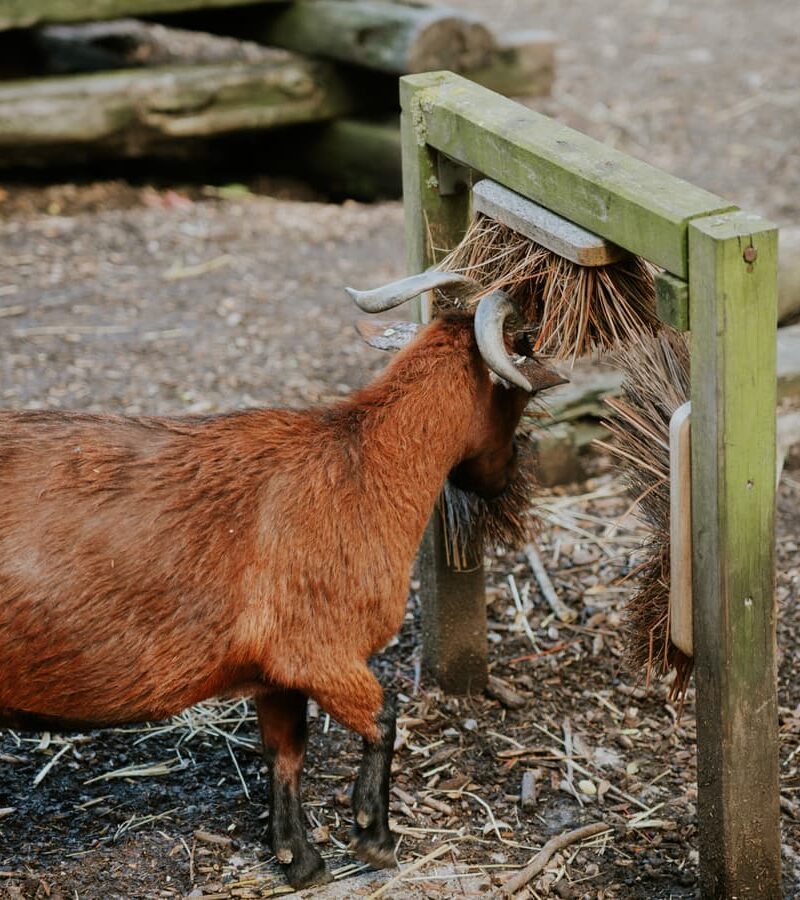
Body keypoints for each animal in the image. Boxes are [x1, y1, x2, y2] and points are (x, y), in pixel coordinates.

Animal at [0, 282, 564, 884]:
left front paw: (299, 859)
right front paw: (374, 837)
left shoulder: (274, 672)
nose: (509, 472)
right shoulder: (320, 652)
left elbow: (286, 751)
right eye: (517, 394)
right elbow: (384, 719)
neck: (365, 464)